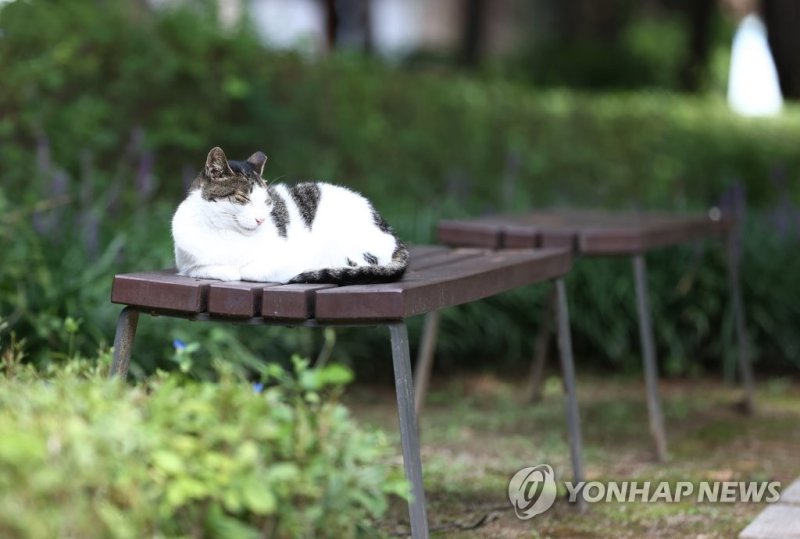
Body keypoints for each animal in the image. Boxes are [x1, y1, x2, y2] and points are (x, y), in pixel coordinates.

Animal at [169, 146, 406, 284]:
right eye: (243, 198)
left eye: (266, 202)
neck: (227, 233)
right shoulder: (187, 264)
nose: (261, 219)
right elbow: (210, 270)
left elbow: (248, 271)